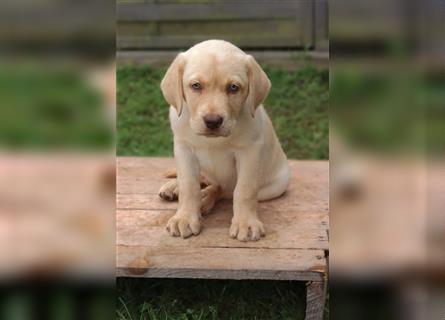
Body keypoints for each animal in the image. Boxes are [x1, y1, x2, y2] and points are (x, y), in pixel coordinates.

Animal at [158, 39, 290, 240]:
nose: (213, 121)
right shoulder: (183, 148)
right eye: (196, 85)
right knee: (205, 180)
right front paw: (185, 218)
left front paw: (245, 223)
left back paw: (205, 198)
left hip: (274, 187)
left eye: (233, 87)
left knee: (223, 189)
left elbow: (244, 190)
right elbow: (189, 185)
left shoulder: (249, 152)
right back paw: (175, 187)